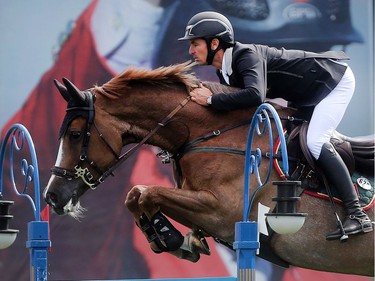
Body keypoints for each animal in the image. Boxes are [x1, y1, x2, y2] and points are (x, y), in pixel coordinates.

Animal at [43, 61, 374, 276]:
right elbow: (136, 195)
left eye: (75, 134)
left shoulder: (221, 211)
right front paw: (171, 238)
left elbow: (145, 192)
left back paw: (356, 222)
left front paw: (168, 237)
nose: (52, 196)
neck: (209, 133)